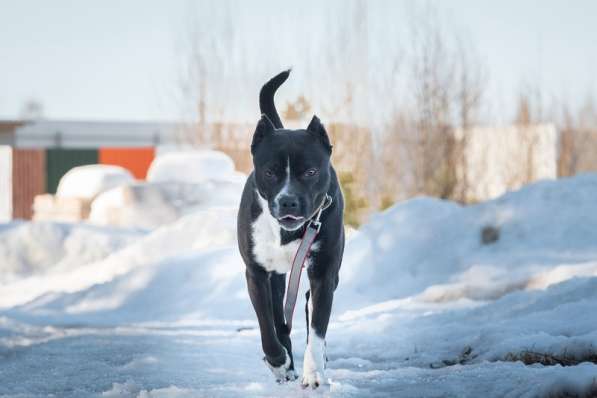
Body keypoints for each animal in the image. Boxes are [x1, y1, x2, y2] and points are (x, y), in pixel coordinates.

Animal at [235, 70, 342, 388]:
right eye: (270, 171)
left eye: (311, 171)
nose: (288, 201)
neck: (287, 233)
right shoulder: (256, 273)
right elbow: (267, 325)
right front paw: (279, 363)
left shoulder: (323, 273)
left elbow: (317, 329)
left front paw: (314, 372)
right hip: (277, 276)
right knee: (278, 321)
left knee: (307, 307)